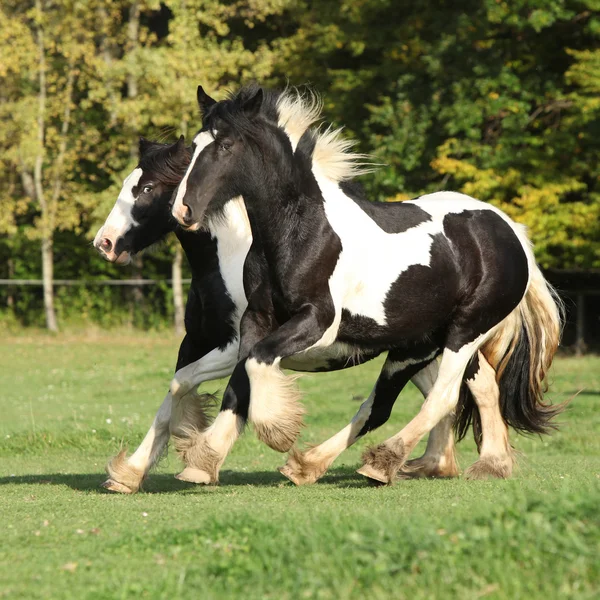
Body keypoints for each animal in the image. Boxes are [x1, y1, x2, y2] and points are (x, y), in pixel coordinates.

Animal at [95, 90, 516, 492]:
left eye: (147, 188)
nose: (105, 243)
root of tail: (508, 229)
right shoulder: (211, 337)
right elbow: (185, 385)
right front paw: (137, 472)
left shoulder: (261, 338)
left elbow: (234, 375)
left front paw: (258, 434)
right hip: (416, 346)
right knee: (415, 400)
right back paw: (429, 464)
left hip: (462, 335)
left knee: (454, 393)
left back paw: (436, 463)